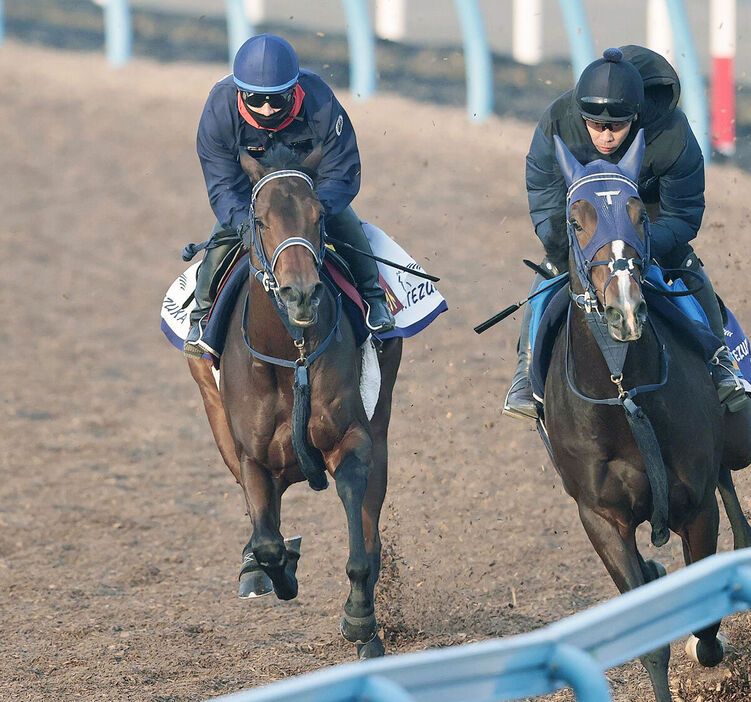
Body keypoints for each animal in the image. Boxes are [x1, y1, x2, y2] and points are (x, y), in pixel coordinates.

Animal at [187, 143, 406, 660]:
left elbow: (360, 538)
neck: (292, 356)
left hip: (382, 420)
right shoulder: (250, 455)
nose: (301, 293)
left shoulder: (353, 439)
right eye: (260, 220)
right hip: (215, 415)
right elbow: (268, 542)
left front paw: (360, 618)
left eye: (318, 215)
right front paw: (274, 567)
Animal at [544, 129, 751, 700]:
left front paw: (711, 648)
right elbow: (649, 635)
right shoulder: (600, 518)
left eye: (639, 215)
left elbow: (704, 626)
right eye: (576, 220)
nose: (626, 309)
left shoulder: (695, 506)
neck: (623, 397)